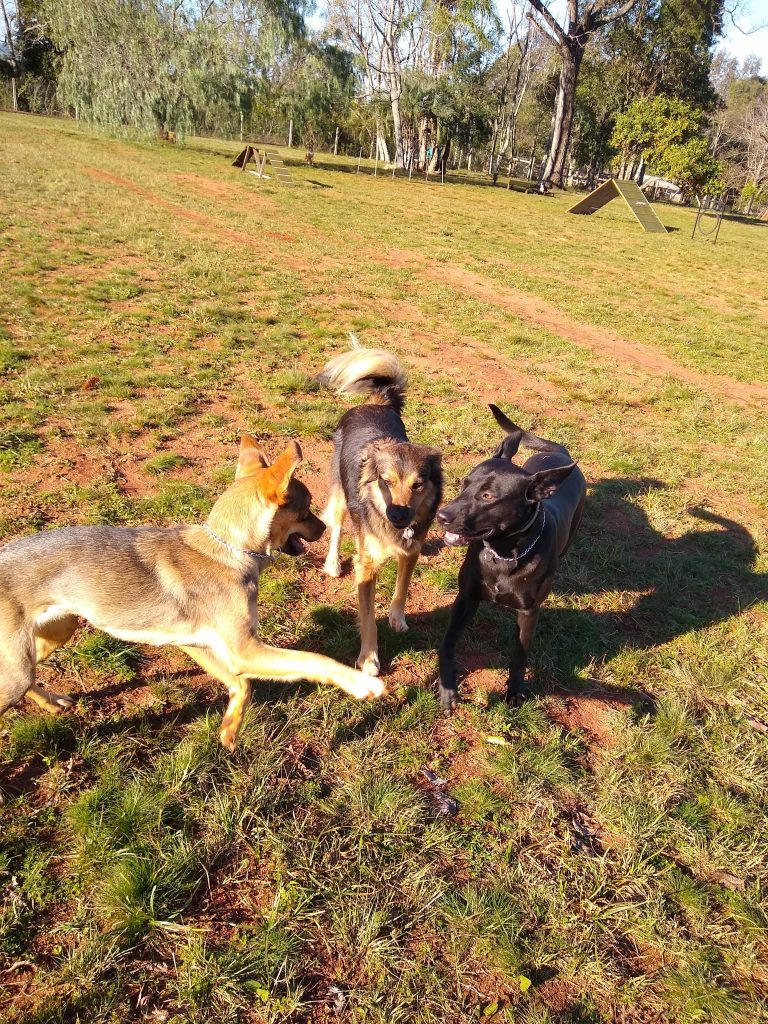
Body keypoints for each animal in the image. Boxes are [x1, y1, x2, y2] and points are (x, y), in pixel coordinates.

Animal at [0, 436, 385, 749]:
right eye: (305, 510)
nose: (324, 526)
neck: (228, 550)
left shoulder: (200, 645)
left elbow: (243, 686)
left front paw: (229, 730)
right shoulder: (244, 649)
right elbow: (314, 660)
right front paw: (363, 684)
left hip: (51, 637)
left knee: (29, 677)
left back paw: (53, 702)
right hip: (21, 664)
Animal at [315, 346, 442, 671]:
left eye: (418, 484)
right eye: (386, 481)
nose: (399, 514)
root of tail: (374, 404)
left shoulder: (412, 550)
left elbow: (402, 588)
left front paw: (397, 619)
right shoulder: (366, 564)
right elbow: (369, 618)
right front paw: (369, 659)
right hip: (340, 493)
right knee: (336, 526)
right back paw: (332, 563)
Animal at [436, 403, 585, 708]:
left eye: (488, 496)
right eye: (464, 483)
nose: (441, 516)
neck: (502, 554)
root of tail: (561, 454)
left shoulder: (529, 612)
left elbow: (519, 655)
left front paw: (515, 691)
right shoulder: (466, 597)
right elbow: (448, 643)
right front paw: (448, 689)